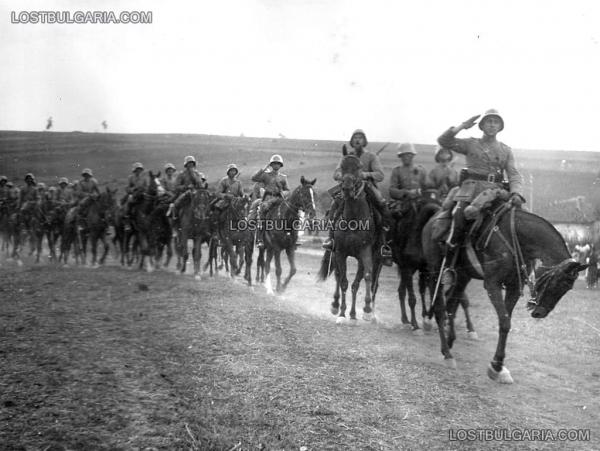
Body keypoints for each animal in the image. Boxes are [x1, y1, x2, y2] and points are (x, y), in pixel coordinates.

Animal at [314, 156, 380, 324]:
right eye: (342, 168)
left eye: (358, 168)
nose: (347, 188)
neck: (353, 220)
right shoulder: (341, 252)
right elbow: (343, 281)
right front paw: (342, 313)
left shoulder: (365, 252)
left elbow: (365, 277)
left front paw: (366, 311)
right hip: (336, 253)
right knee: (338, 276)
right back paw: (335, 305)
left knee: (357, 282)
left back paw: (354, 314)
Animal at [392, 189, 476, 338]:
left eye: (406, 207)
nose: (396, 213)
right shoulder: (410, 266)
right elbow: (413, 298)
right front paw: (416, 325)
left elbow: (461, 298)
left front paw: (470, 328)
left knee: (411, 290)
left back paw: (413, 318)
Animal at [422, 203, 584, 384]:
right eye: (557, 282)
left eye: (567, 288)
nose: (540, 313)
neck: (516, 238)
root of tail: (432, 220)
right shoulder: (492, 284)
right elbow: (505, 322)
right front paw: (498, 365)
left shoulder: (513, 287)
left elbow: (506, 323)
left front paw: (497, 366)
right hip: (435, 273)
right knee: (439, 308)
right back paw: (447, 353)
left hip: (463, 276)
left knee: (452, 303)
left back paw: (450, 340)